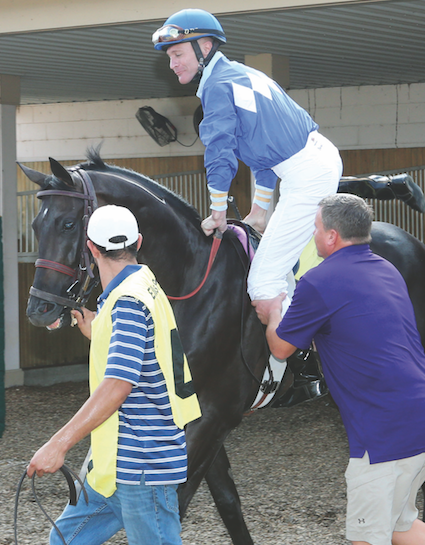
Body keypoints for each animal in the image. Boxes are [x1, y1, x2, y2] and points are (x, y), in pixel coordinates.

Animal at [20, 150, 425, 544]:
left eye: (68, 224)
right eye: (36, 226)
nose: (39, 309)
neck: (189, 283)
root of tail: (405, 240)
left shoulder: (216, 416)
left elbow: (177, 502)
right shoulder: (196, 415)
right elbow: (227, 503)